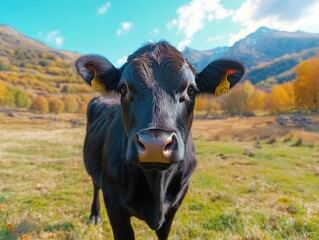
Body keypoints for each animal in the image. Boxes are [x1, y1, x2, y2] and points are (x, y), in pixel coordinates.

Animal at [76, 42, 246, 239]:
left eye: (191, 90)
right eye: (123, 88)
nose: (154, 145)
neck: (157, 185)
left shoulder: (176, 201)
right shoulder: (113, 201)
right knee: (96, 186)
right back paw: (94, 216)